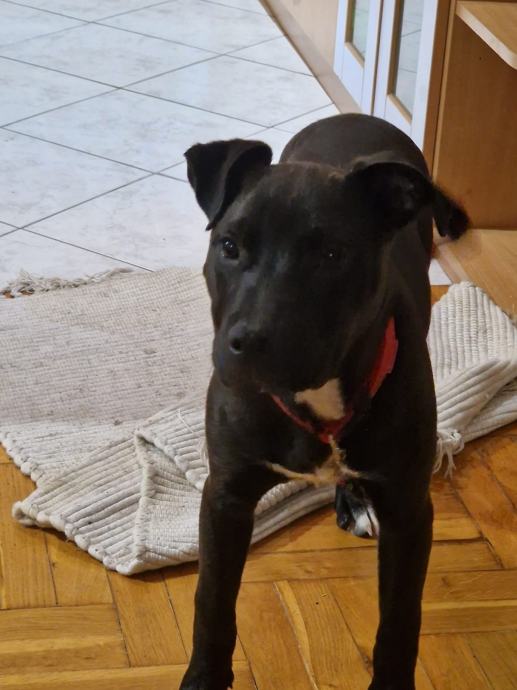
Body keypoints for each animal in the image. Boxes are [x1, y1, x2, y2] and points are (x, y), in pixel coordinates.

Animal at [179, 113, 468, 690]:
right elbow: (211, 603)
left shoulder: (409, 510)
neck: (313, 396)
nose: (250, 343)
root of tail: (358, 115)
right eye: (229, 245)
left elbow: (400, 619)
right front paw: (203, 677)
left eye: (331, 255)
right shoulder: (225, 496)